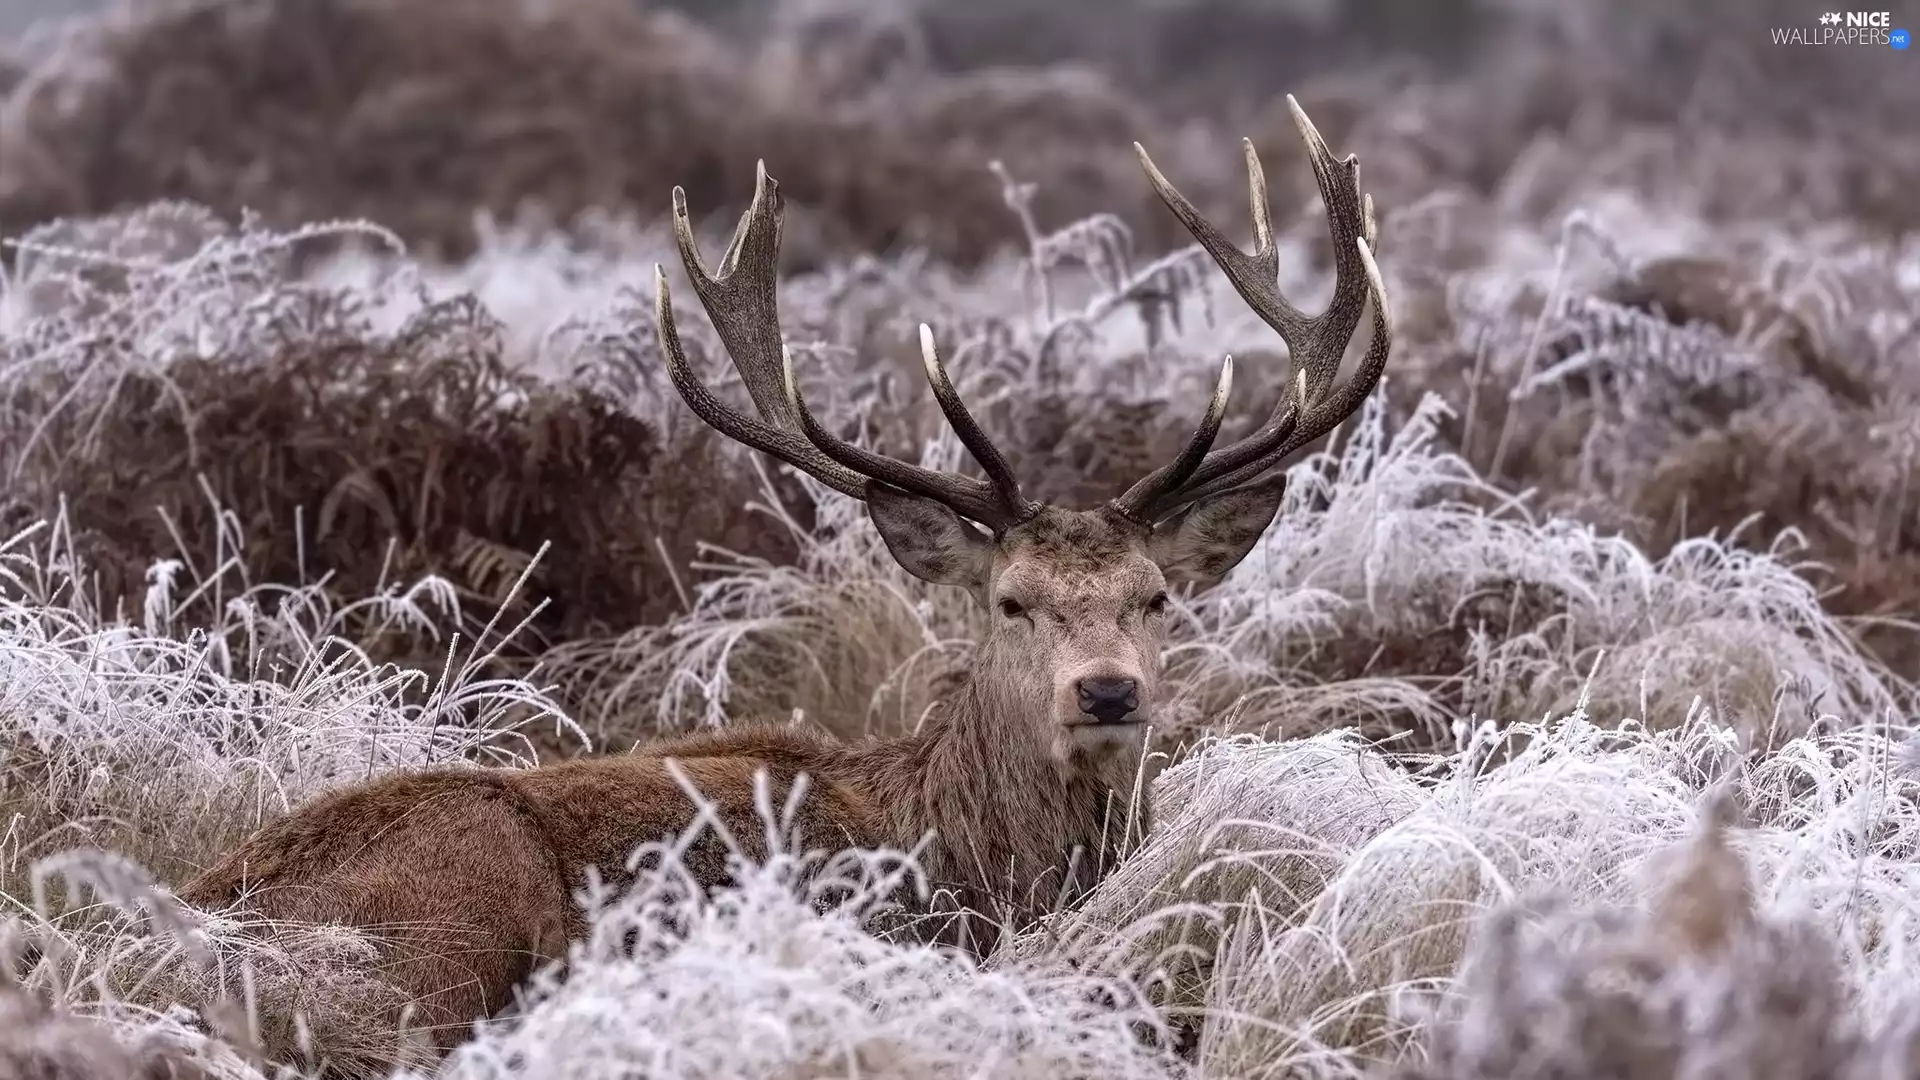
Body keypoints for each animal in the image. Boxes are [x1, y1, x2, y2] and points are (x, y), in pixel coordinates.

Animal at [175, 96, 1390, 1069]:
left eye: (1154, 596)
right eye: (1011, 602)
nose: (1105, 691)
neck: (969, 856)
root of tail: (182, 929)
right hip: (458, 908)